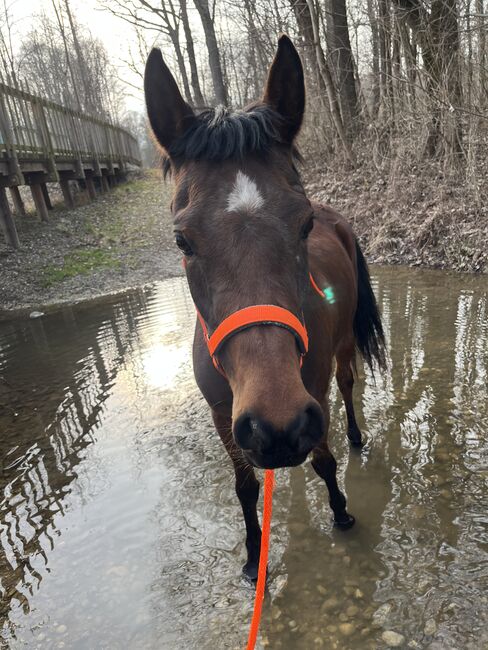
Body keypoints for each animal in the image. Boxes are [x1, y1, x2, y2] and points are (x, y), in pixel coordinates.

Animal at [144, 35, 386, 580]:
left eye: (304, 223)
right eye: (182, 240)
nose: (277, 425)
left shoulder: (311, 393)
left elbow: (323, 460)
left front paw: (341, 512)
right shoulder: (223, 416)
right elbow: (245, 487)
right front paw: (254, 557)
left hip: (340, 351)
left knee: (347, 386)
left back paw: (355, 437)